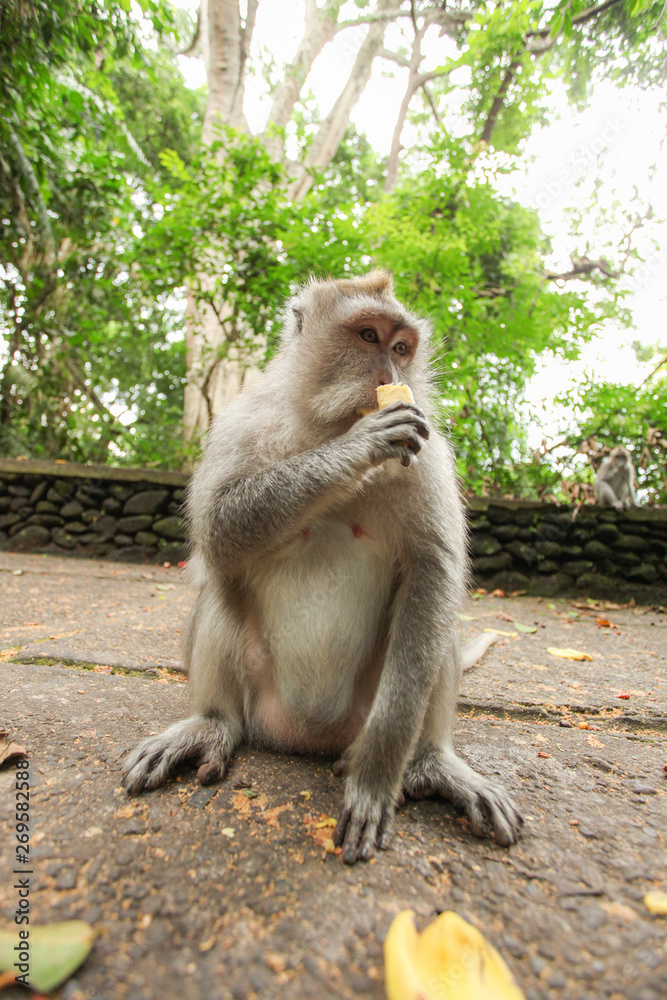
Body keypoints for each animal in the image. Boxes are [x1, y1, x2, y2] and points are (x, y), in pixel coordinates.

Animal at [122, 271, 522, 863]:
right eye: (367, 335)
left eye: (401, 348)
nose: (390, 375)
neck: (327, 423)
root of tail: (302, 738)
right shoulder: (243, 419)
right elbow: (219, 529)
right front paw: (358, 448)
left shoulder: (428, 455)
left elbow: (432, 570)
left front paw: (377, 771)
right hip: (259, 705)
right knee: (221, 592)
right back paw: (210, 726)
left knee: (434, 626)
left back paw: (429, 762)